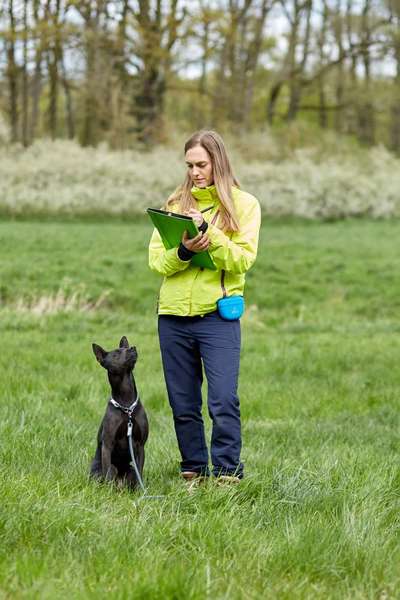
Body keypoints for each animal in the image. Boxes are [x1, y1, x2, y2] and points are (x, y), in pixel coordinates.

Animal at [89, 336, 148, 490]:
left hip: (130, 470)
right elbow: (108, 474)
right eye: (116, 354)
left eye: (126, 348)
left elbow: (140, 472)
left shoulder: (140, 446)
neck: (127, 407)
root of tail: (120, 484)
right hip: (100, 471)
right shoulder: (107, 445)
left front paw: (141, 491)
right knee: (109, 473)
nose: (132, 348)